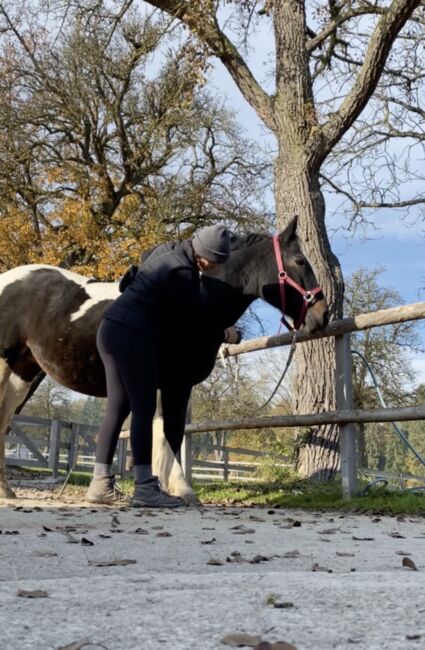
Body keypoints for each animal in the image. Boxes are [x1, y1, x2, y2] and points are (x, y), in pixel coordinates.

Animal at [0, 215, 328, 498]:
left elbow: (168, 432)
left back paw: (6, 490)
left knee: (5, 418)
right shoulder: (170, 384)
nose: (323, 315)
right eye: (300, 261)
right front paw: (181, 489)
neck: (197, 302)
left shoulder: (172, 386)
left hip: (23, 372)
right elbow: (167, 434)